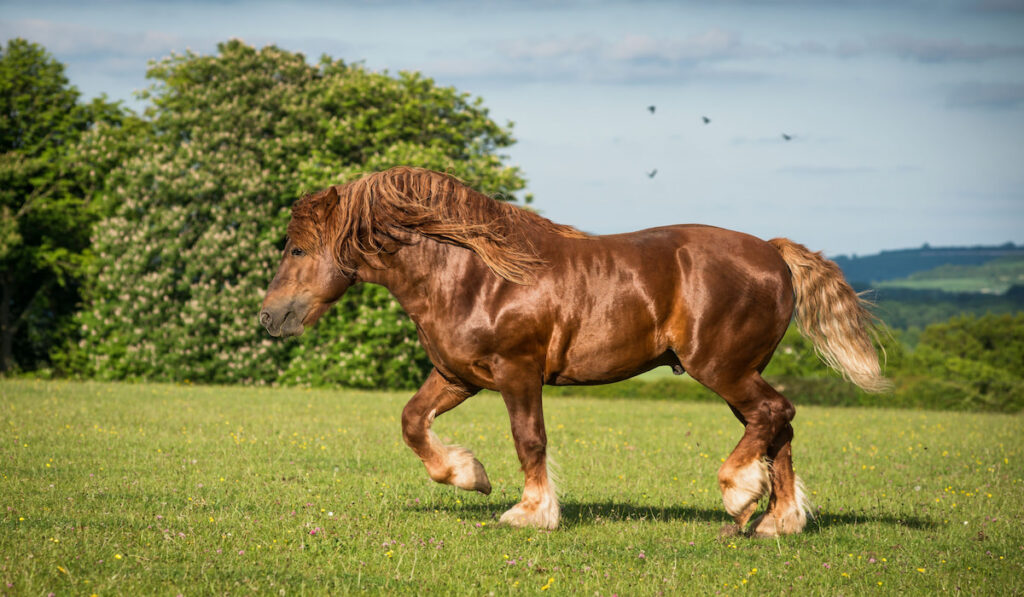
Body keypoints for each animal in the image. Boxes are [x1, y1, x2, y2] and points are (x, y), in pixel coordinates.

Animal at [258, 165, 888, 536]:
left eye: (296, 249)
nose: (269, 317)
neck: (472, 274)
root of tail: (774, 253)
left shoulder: (517, 372)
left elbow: (529, 439)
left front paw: (530, 512)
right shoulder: (458, 376)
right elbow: (413, 422)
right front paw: (468, 475)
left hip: (722, 368)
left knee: (776, 415)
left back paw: (740, 496)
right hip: (739, 372)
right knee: (777, 426)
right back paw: (777, 521)